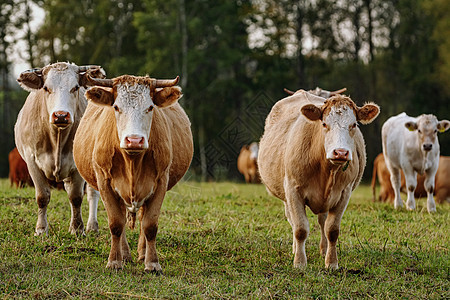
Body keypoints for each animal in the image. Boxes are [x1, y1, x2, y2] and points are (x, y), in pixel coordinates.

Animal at [13, 62, 105, 236]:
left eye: (75, 87)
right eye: (46, 88)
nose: (61, 115)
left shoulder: (77, 163)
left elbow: (76, 197)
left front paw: (77, 229)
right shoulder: (31, 161)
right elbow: (42, 196)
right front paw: (41, 230)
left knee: (92, 193)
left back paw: (92, 226)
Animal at [73, 74, 192, 274]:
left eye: (150, 107)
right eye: (116, 107)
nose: (134, 140)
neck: (132, 161)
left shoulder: (161, 181)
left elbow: (150, 225)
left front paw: (152, 263)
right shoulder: (104, 183)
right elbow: (116, 224)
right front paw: (115, 261)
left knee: (143, 218)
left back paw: (142, 253)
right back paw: (125, 255)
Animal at [256, 90, 380, 268]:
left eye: (354, 125)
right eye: (324, 124)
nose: (340, 153)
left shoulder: (344, 193)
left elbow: (332, 230)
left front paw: (331, 262)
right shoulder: (293, 190)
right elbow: (300, 228)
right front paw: (299, 262)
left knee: (322, 221)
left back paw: (323, 249)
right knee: (292, 220)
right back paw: (295, 248)